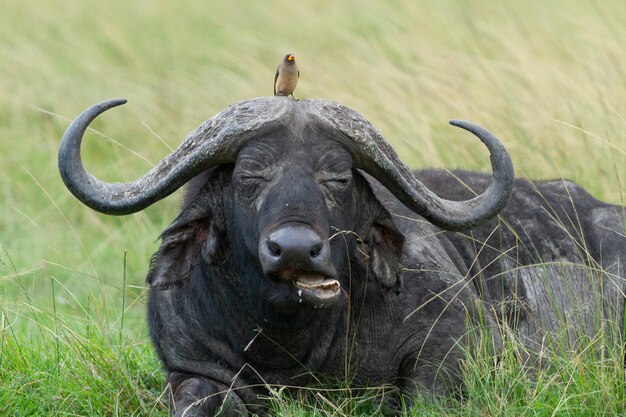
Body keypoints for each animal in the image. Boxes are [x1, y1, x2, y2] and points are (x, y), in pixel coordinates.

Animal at [57, 96, 620, 414]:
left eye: (337, 178)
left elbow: (424, 396)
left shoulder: (454, 341)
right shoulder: (187, 364)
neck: (290, 344)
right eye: (250, 175)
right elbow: (196, 402)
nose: (295, 249)